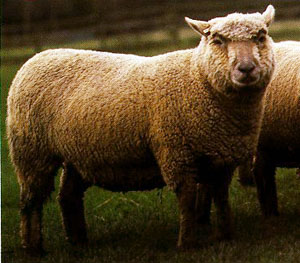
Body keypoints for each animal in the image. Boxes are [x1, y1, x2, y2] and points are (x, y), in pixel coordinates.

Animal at [5, 5, 276, 254]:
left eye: (260, 36)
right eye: (218, 40)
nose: (246, 68)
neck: (198, 79)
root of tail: (38, 56)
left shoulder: (222, 157)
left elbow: (220, 197)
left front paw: (226, 235)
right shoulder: (176, 153)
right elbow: (187, 200)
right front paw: (187, 244)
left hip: (77, 155)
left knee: (68, 196)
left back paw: (79, 241)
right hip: (31, 152)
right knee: (30, 201)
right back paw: (32, 246)